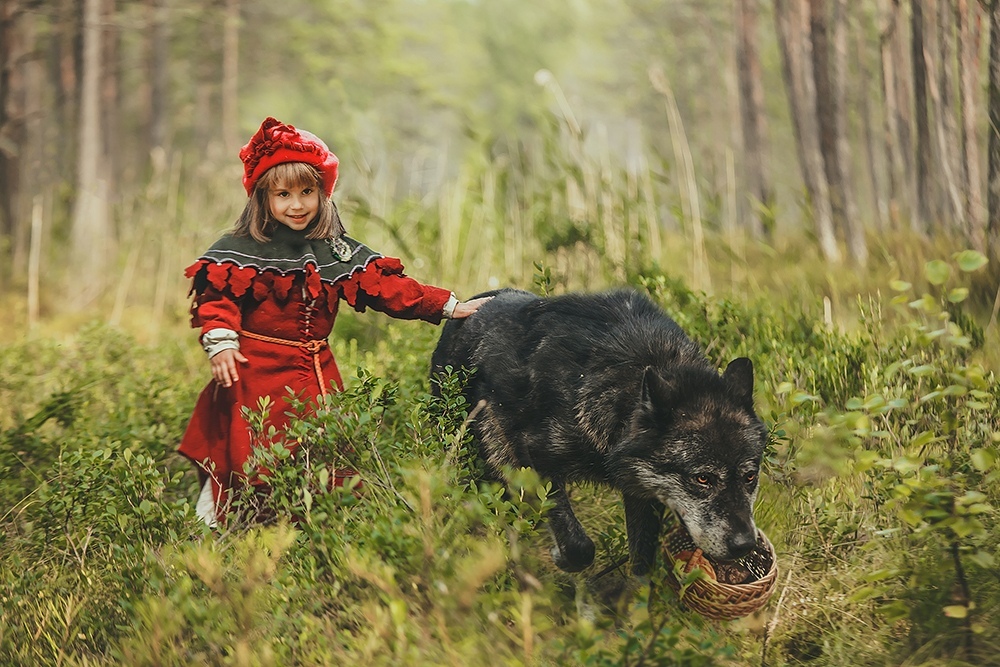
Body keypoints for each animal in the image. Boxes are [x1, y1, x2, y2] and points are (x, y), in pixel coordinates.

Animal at [430, 290, 764, 576]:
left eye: (750, 476)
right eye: (703, 479)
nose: (745, 545)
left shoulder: (642, 491)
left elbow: (642, 561)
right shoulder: (535, 461)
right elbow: (578, 545)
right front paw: (562, 557)